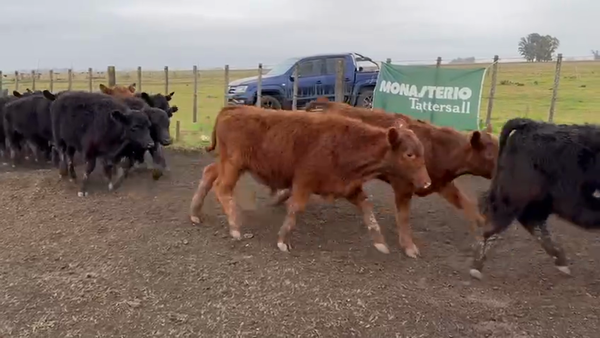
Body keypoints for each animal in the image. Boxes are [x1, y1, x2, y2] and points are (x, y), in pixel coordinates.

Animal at [190, 105, 428, 254]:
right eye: (409, 154)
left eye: (422, 151)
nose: (426, 182)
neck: (347, 143)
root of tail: (231, 109)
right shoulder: (304, 182)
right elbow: (296, 208)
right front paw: (282, 241)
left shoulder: (348, 187)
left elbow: (368, 210)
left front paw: (380, 243)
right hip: (233, 164)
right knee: (222, 188)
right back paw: (235, 227)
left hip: (226, 163)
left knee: (208, 174)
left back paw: (195, 213)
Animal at [282, 99, 496, 258]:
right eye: (490, 154)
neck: (438, 148)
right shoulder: (403, 186)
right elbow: (403, 216)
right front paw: (409, 246)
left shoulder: (440, 183)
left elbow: (467, 204)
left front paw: (482, 232)